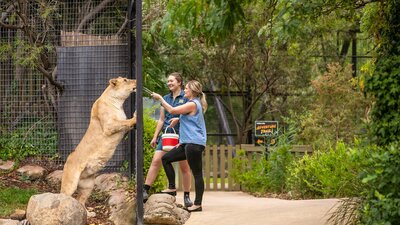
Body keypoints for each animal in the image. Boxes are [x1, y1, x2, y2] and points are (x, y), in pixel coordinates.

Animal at [61, 77, 138, 209]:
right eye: (125, 80)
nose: (136, 81)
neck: (118, 102)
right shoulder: (109, 125)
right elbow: (125, 122)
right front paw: (136, 116)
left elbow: (126, 124)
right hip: (70, 183)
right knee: (63, 195)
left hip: (88, 186)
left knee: (80, 201)